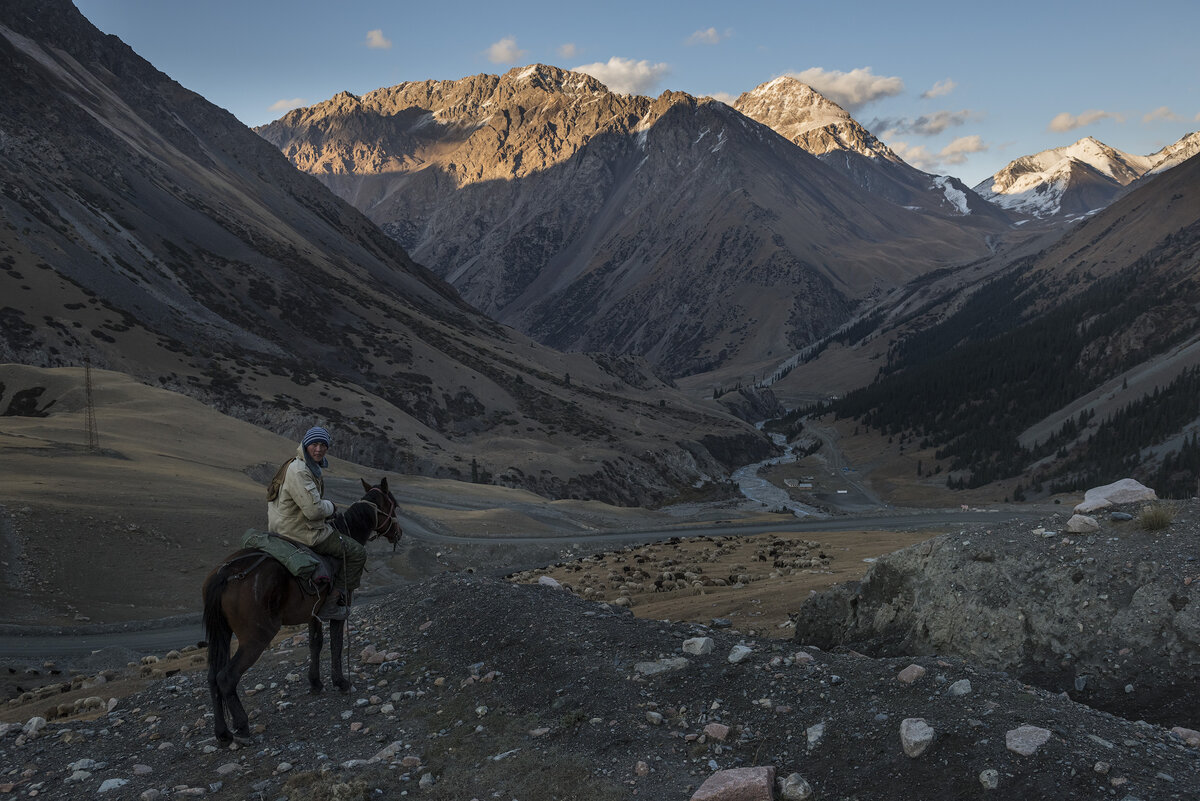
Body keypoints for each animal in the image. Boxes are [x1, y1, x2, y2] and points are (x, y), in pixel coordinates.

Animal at [199, 474, 400, 743]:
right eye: (394, 505)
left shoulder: (313, 613)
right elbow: (336, 644)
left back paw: (222, 733)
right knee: (226, 677)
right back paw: (241, 725)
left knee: (212, 677)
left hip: (221, 632)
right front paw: (340, 682)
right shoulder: (339, 610)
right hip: (256, 636)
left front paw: (315, 683)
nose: (398, 533)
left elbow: (316, 644)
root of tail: (225, 573)